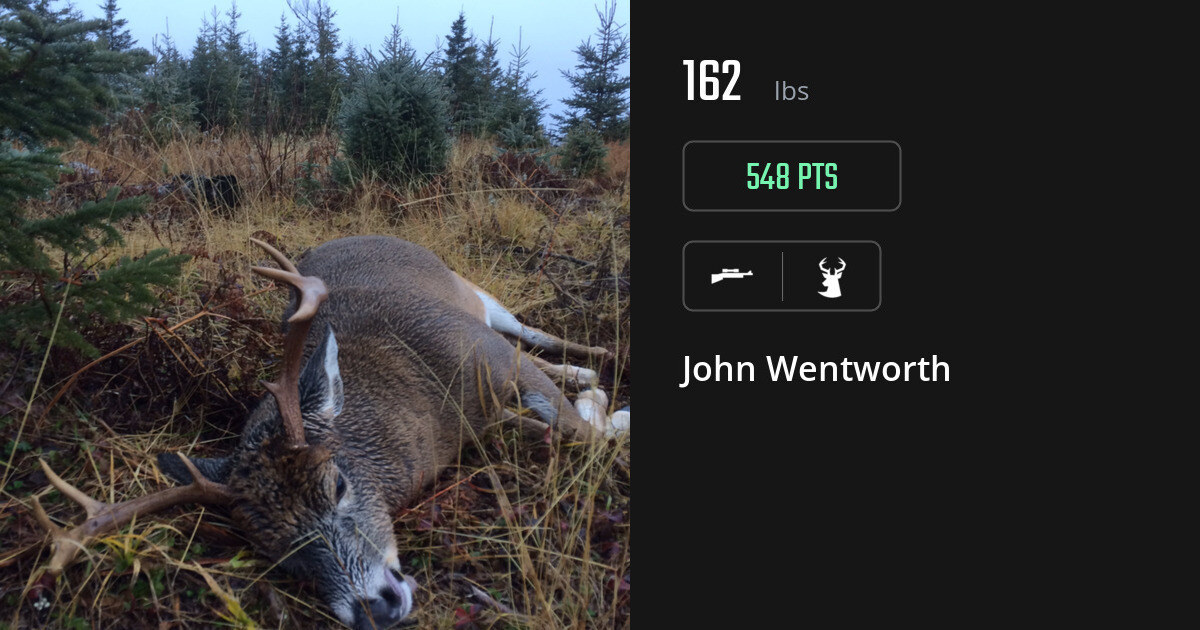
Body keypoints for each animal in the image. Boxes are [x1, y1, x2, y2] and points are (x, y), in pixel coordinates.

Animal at [29, 235, 624, 629]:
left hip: (477, 297)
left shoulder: (492, 359)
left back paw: (595, 364)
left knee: (533, 331)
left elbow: (582, 432)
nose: (373, 608)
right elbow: (552, 430)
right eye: (277, 551)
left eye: (336, 484)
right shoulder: (488, 420)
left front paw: (609, 409)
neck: (424, 401)